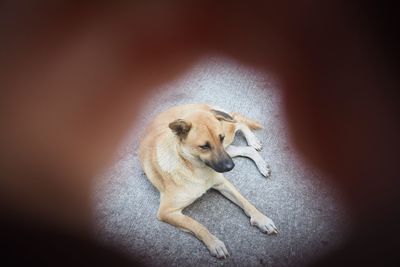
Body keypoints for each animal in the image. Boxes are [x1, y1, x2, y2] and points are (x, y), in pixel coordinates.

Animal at [138, 103, 278, 258]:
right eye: (204, 146)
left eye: (220, 138)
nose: (231, 167)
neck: (193, 168)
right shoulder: (166, 212)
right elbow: (197, 225)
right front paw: (214, 243)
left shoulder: (223, 184)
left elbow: (246, 202)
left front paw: (262, 219)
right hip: (229, 149)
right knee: (247, 149)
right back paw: (259, 160)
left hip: (228, 137)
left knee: (238, 121)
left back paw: (253, 141)